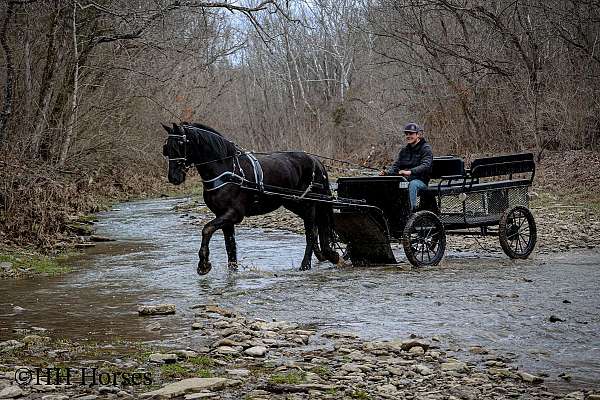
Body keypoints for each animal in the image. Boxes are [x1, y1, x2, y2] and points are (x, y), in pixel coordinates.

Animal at [159, 122, 340, 276]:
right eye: (166, 148)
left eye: (180, 145)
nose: (173, 178)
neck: (226, 171)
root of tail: (316, 161)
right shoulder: (224, 217)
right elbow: (230, 246)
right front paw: (232, 272)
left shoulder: (234, 214)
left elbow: (207, 229)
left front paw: (203, 265)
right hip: (293, 203)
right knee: (316, 228)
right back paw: (325, 255)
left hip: (308, 204)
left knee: (311, 231)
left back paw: (306, 264)